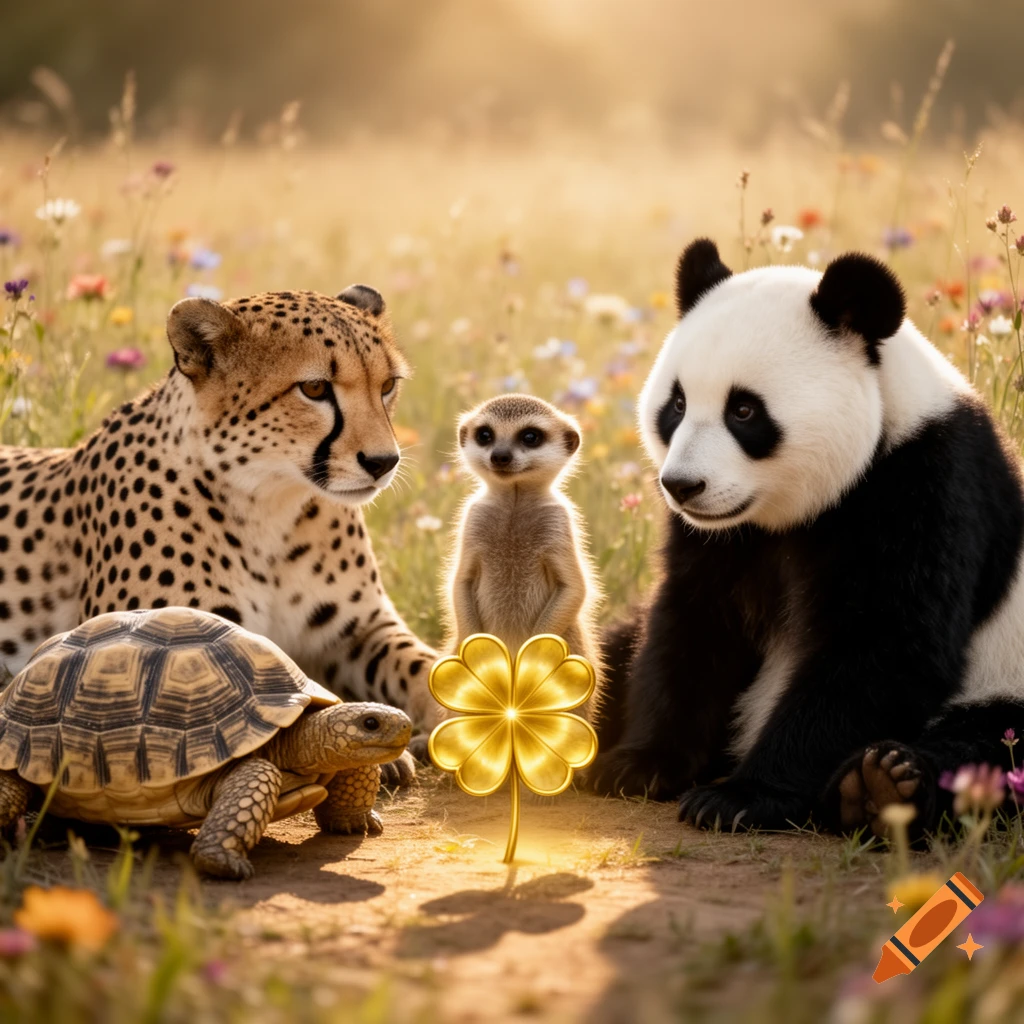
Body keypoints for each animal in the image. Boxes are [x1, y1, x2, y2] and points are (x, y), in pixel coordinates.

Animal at [0, 284, 443, 766]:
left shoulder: (358, 632)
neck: (271, 506)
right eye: (314, 388)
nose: (383, 462)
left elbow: (427, 665)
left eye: (387, 386)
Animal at [590, 238, 1024, 837]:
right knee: (604, 651)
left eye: (744, 410)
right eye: (676, 404)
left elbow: (883, 643)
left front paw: (740, 797)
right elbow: (691, 623)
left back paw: (881, 784)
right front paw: (639, 764)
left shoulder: (923, 484)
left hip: (1003, 670)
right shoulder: (720, 538)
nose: (682, 486)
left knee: (992, 744)